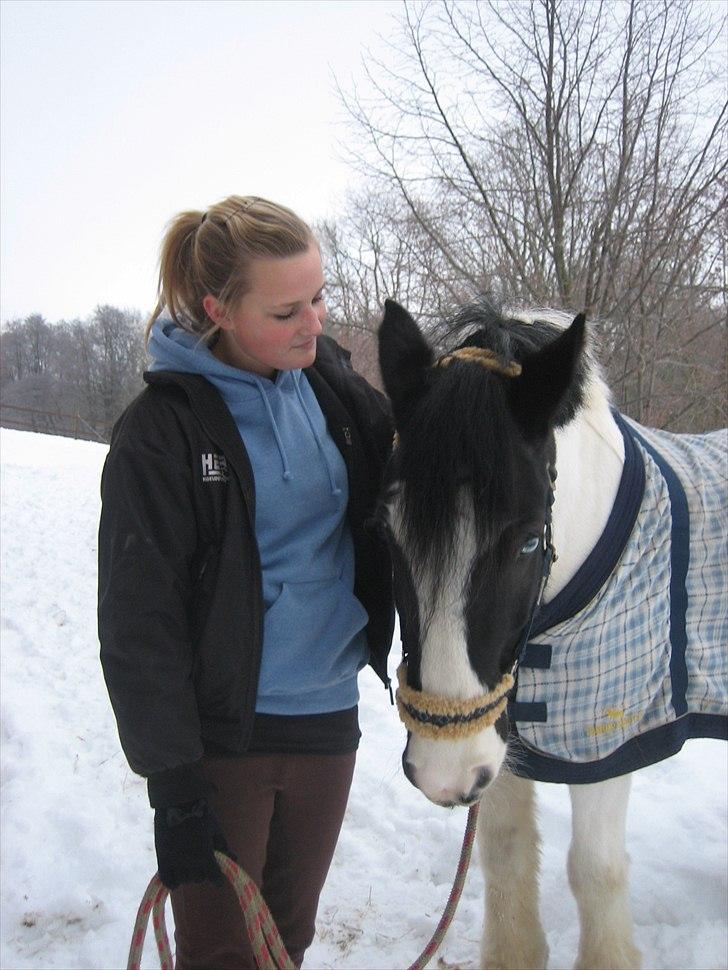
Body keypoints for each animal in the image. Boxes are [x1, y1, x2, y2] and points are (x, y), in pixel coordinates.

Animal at [376, 296, 728, 968]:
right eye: (389, 534)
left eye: (528, 541)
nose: (443, 773)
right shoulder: (499, 736)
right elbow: (507, 852)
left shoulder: (609, 739)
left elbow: (594, 870)